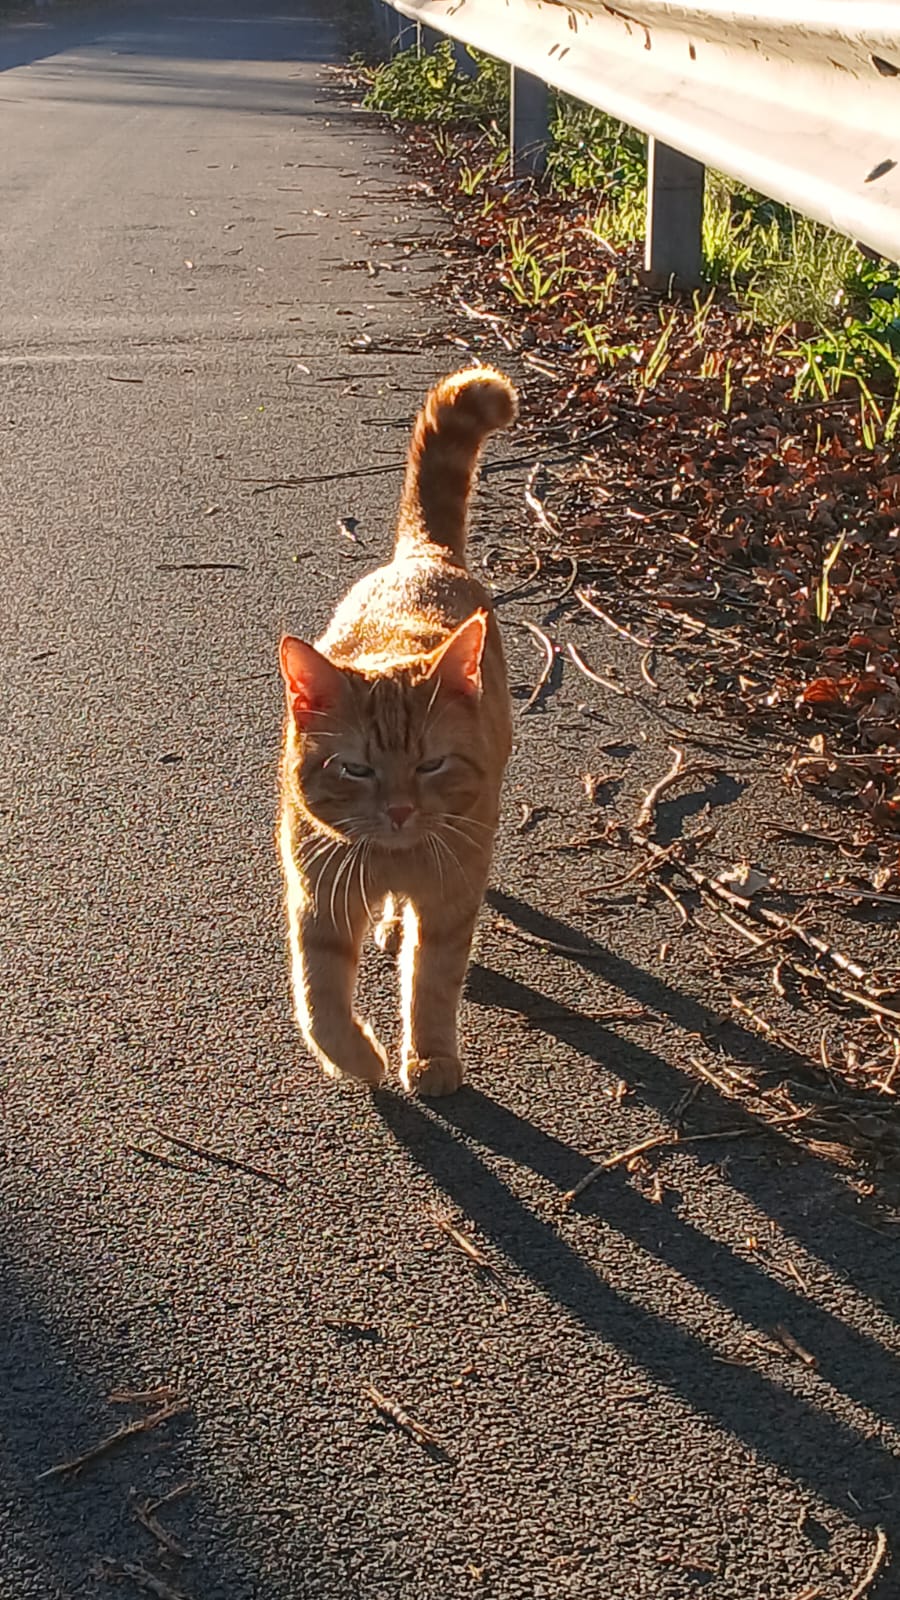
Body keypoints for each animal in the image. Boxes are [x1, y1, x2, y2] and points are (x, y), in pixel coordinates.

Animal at [277, 371, 515, 1100]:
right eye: (356, 770)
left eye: (432, 764)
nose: (402, 811)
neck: (392, 857)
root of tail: (423, 555)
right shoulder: (317, 901)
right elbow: (319, 1000)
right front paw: (356, 1058)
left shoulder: (449, 902)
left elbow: (430, 984)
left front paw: (431, 1059)